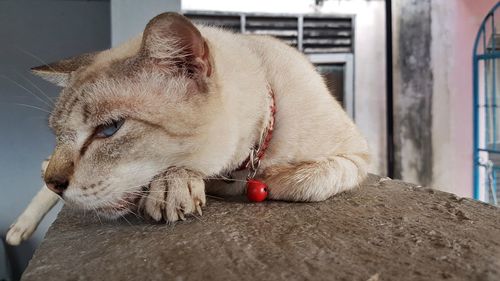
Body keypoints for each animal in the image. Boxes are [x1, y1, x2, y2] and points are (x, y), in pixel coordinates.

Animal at [5, 12, 370, 245]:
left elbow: (309, 180)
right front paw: (173, 188)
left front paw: (273, 180)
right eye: (59, 136)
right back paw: (18, 229)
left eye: (109, 130)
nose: (55, 183)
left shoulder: (360, 156)